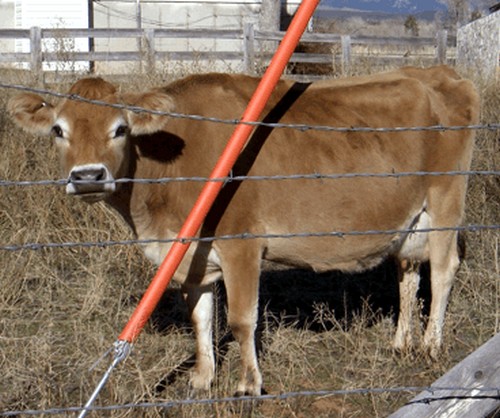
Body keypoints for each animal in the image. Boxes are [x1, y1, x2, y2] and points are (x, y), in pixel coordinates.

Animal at [6, 65, 476, 396]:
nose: (88, 176)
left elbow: (241, 319)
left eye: (119, 129)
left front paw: (248, 384)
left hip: (446, 198)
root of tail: (437, 72)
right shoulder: (192, 254)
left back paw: (431, 345)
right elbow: (200, 317)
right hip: (409, 219)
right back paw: (401, 341)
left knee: (442, 270)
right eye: (58, 130)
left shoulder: (241, 244)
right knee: (408, 272)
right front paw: (202, 378)